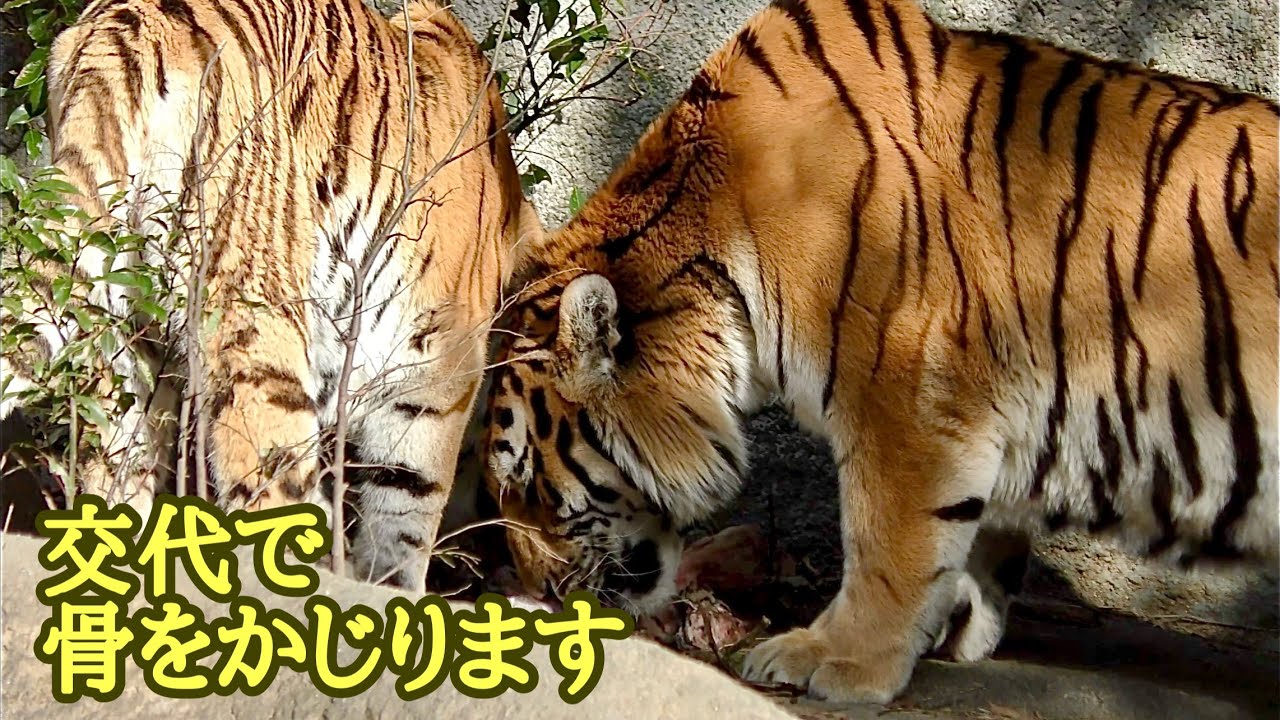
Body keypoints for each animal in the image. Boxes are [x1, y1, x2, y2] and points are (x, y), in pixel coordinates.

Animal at [477, 0, 1279, 703]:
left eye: (528, 486)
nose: (536, 592)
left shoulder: (909, 400)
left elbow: (888, 545)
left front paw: (836, 659)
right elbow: (977, 534)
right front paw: (960, 624)